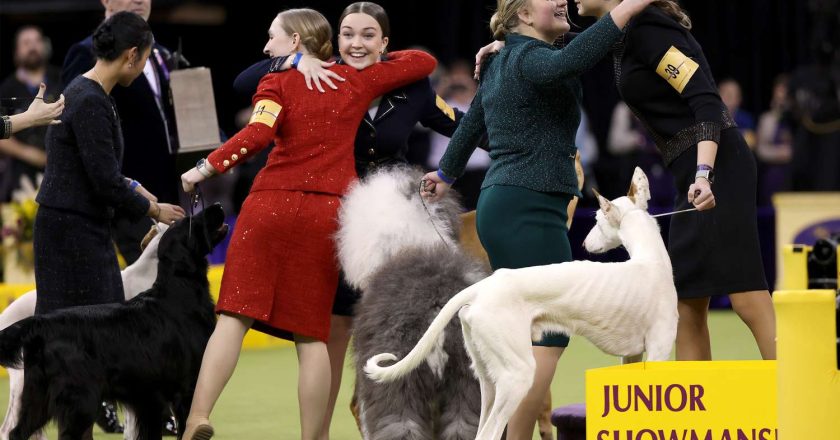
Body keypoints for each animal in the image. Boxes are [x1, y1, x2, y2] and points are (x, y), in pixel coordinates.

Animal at [364, 168, 680, 440]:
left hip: (488, 380)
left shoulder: (631, 357)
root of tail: (482, 287)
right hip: (517, 375)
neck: (650, 262)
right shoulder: (658, 352)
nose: (585, 245)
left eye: (598, 223)